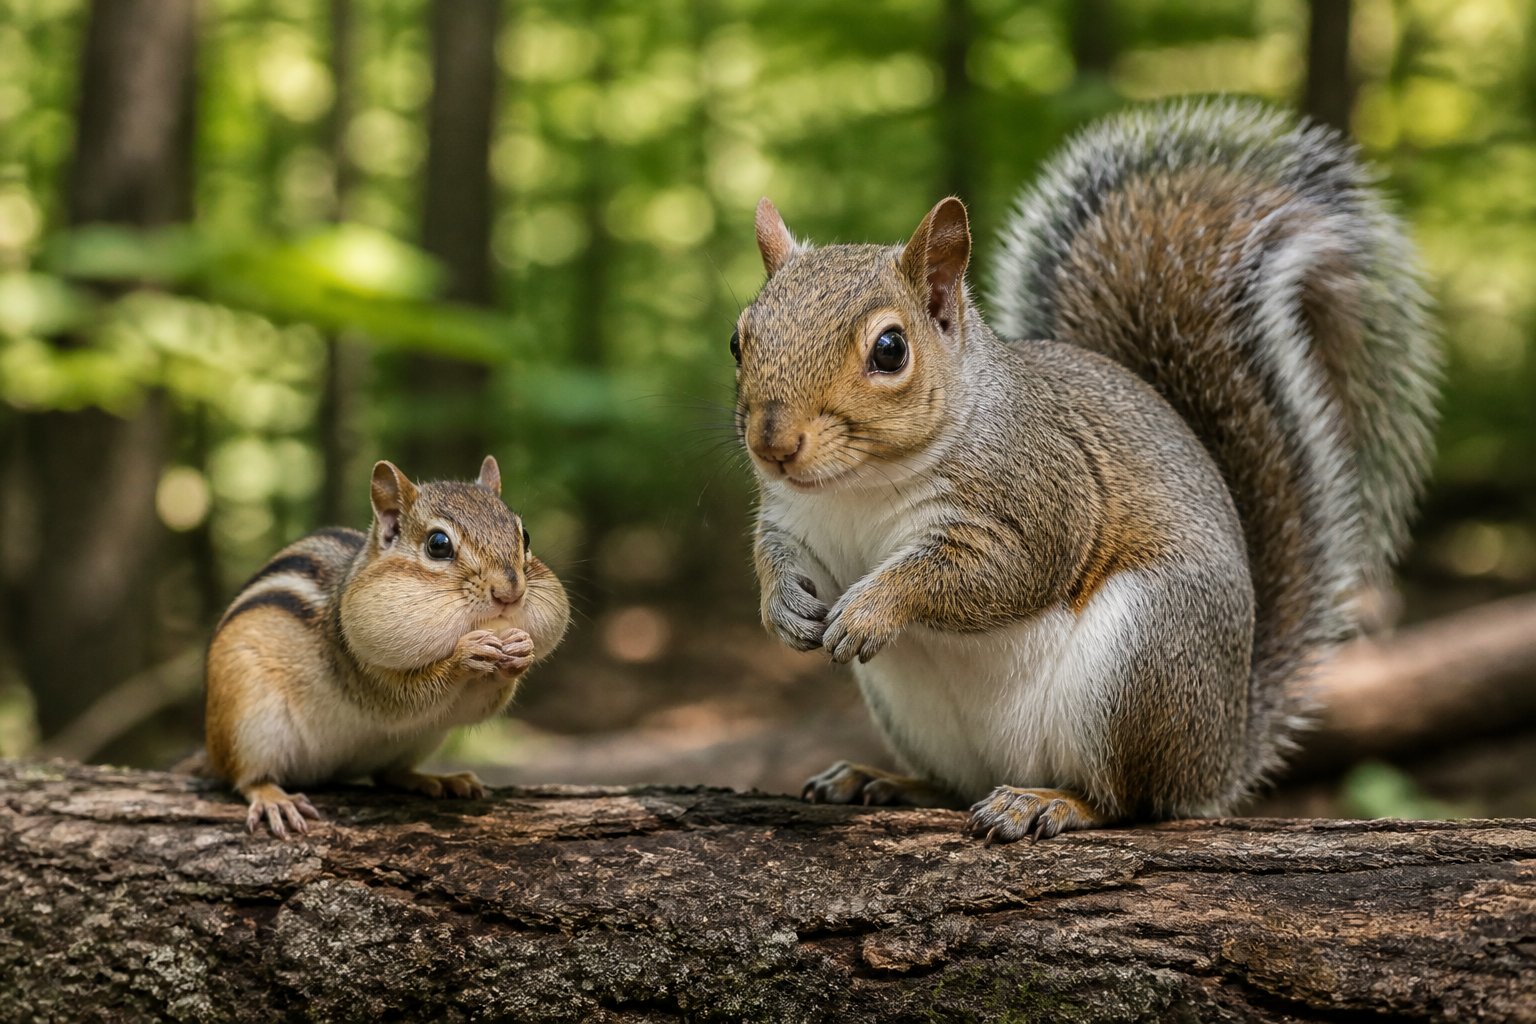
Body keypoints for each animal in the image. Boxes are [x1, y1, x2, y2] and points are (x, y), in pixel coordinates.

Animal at [197, 455, 570, 837]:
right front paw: (464, 656)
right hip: (246, 722)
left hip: (422, 739)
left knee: (389, 774)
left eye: (525, 536)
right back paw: (273, 798)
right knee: (245, 778)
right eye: (438, 544)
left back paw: (437, 779)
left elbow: (474, 706)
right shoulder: (358, 669)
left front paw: (521, 651)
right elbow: (404, 699)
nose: (510, 593)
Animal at [733, 98, 1439, 841]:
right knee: (956, 784)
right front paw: (783, 608)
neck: (858, 489)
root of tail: (1217, 756)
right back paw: (885, 780)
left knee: (1129, 799)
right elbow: (776, 556)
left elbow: (997, 572)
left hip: (1142, 661)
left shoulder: (1041, 493)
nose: (772, 443)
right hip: (916, 712)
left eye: (891, 350)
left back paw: (1047, 801)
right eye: (737, 340)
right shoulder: (794, 519)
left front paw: (875, 606)